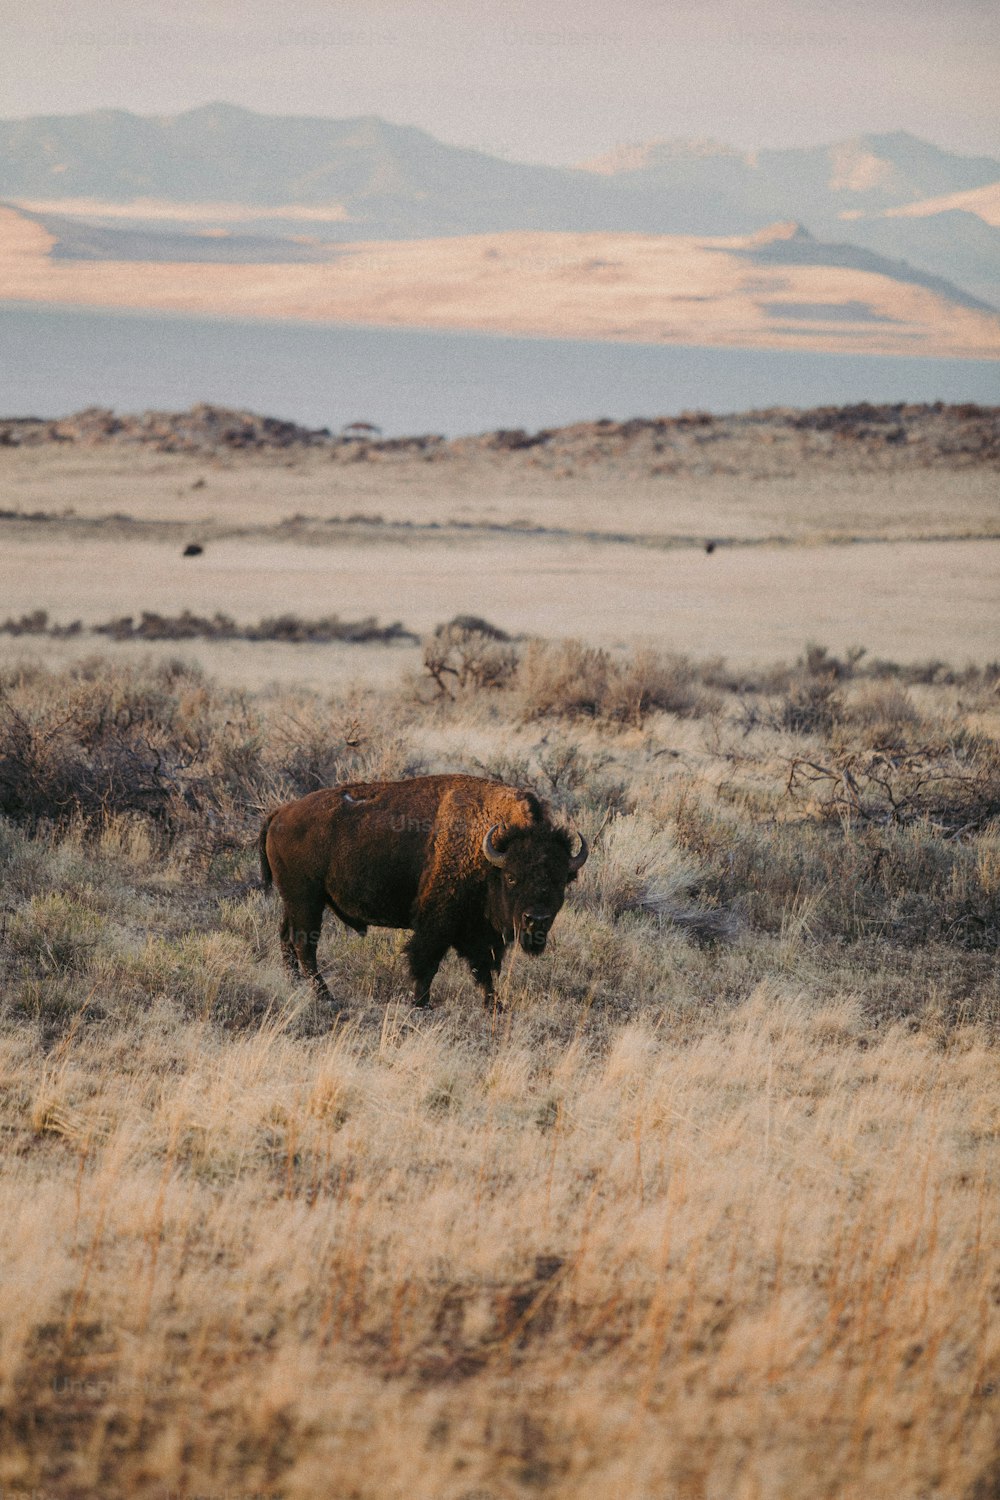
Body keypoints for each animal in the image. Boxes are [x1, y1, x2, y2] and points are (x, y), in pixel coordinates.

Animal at [257, 774, 587, 1008]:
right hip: (306, 900)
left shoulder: (482, 934)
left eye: (561, 880)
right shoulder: (437, 924)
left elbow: (485, 970)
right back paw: (326, 996)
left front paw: (496, 1007)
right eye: (512, 878)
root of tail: (279, 813)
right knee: (304, 944)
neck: (487, 851)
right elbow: (426, 962)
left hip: (295, 901)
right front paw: (421, 1003)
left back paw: (296, 986)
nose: (536, 920)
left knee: (287, 938)